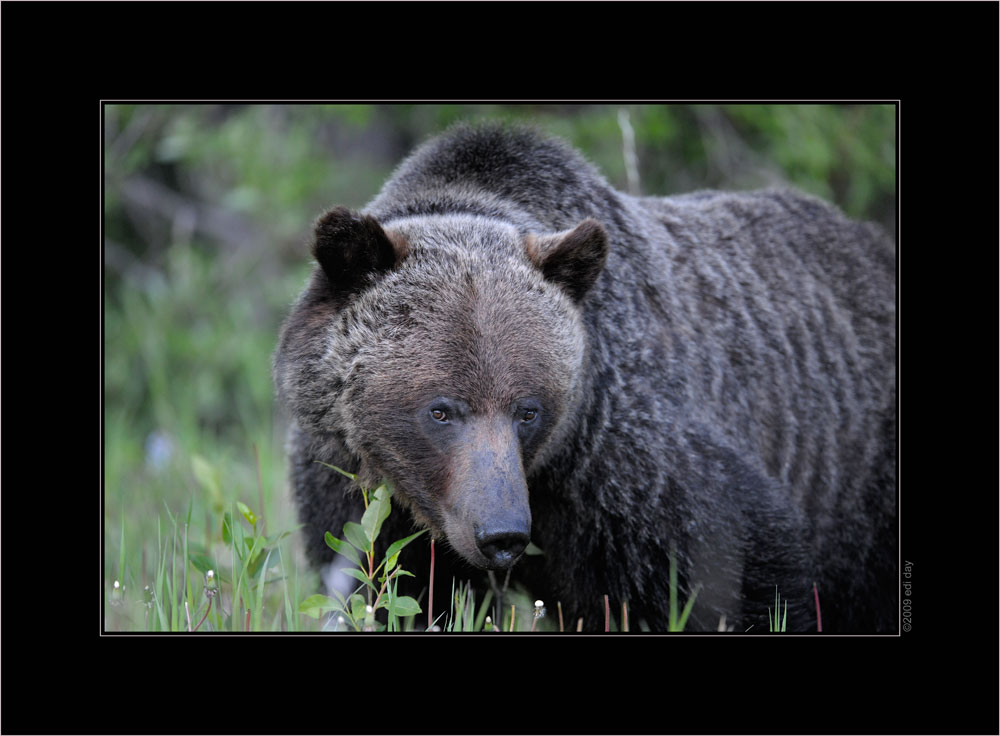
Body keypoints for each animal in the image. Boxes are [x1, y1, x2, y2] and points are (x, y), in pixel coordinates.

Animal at [274, 122, 900, 632]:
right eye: (441, 409)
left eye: (528, 409)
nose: (502, 535)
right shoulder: (352, 484)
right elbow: (391, 587)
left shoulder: (622, 470)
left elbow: (737, 577)